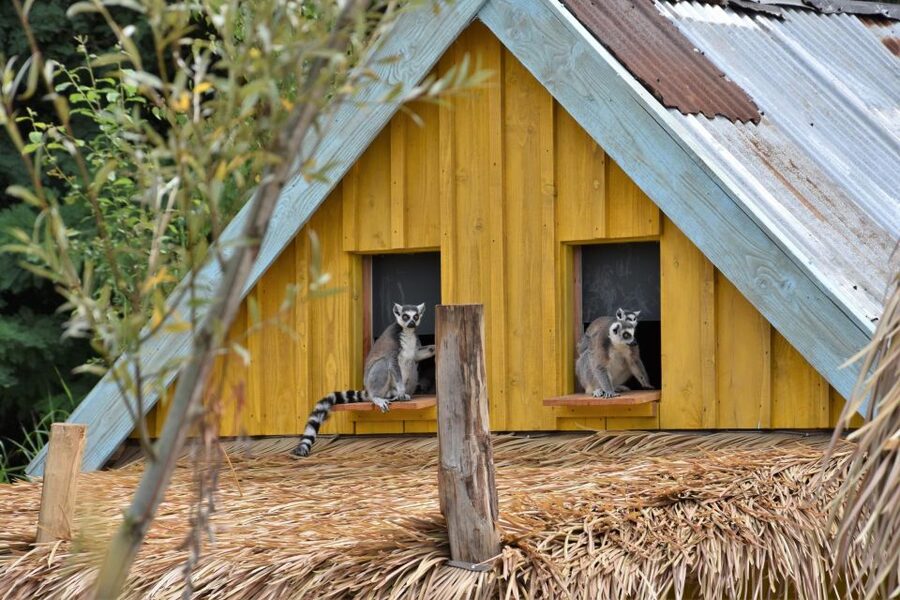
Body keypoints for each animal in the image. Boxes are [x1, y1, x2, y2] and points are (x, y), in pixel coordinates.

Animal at [291, 302, 435, 457]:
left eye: (416, 316)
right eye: (405, 316)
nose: (412, 323)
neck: (407, 332)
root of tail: (368, 389)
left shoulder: (415, 341)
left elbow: (417, 355)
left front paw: (435, 347)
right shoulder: (393, 342)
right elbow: (391, 362)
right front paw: (401, 391)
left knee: (412, 363)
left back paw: (399, 395)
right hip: (373, 382)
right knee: (383, 363)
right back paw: (380, 397)